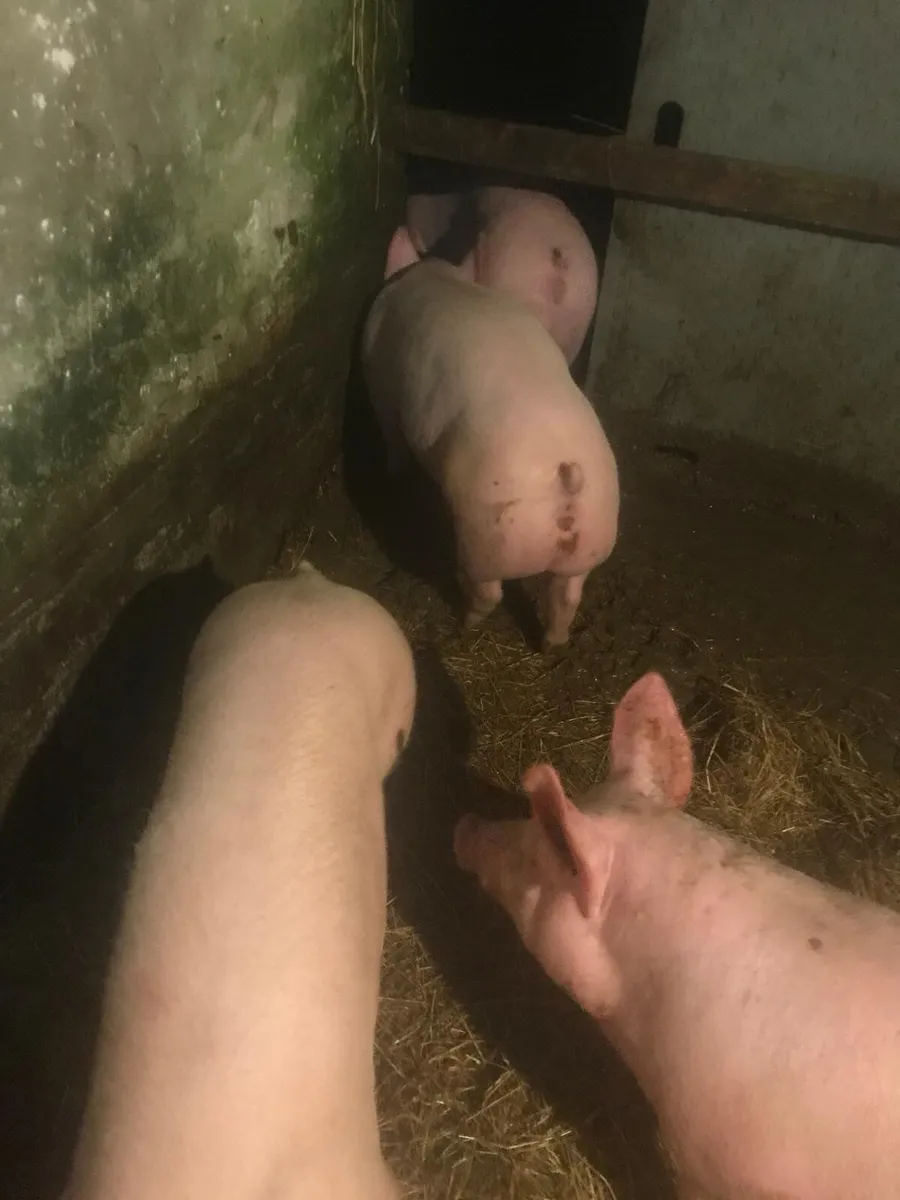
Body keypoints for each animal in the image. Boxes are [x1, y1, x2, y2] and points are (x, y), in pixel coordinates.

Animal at [362, 236, 620, 651]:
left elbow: (391, 434)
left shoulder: (378, 378)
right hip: (593, 536)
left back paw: (465, 622)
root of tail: (566, 476)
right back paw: (551, 645)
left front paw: (392, 476)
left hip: (486, 533)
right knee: (566, 596)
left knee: (488, 592)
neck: (436, 276)